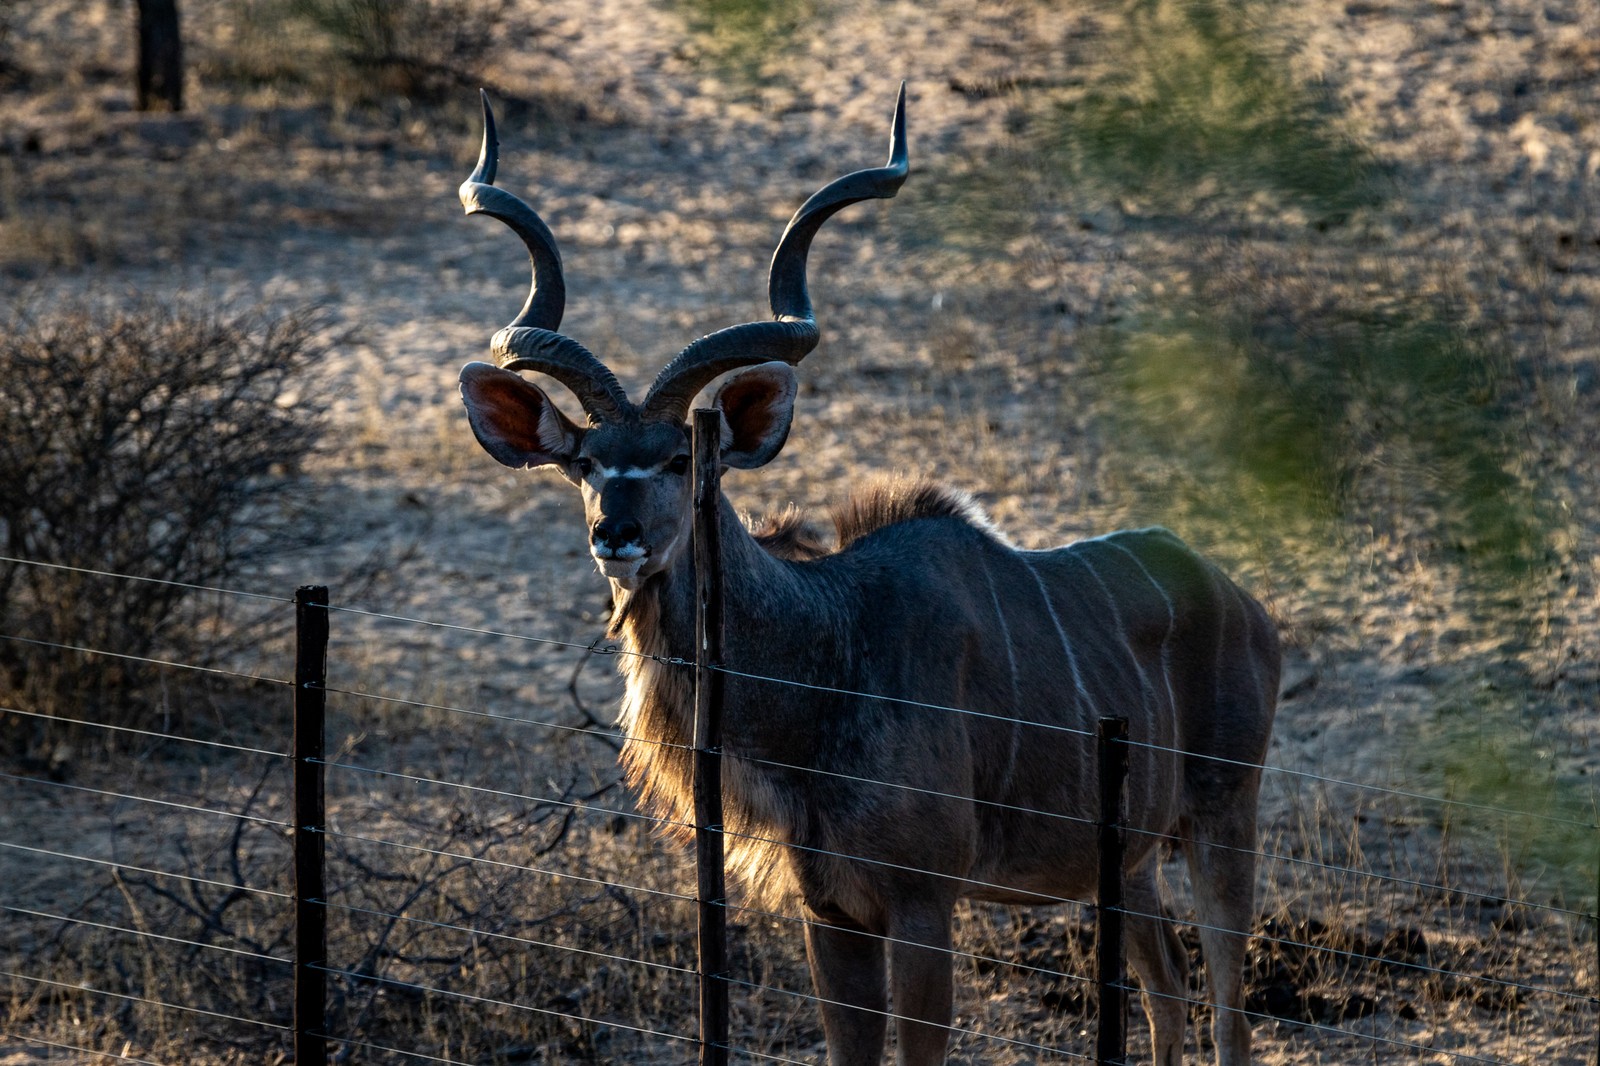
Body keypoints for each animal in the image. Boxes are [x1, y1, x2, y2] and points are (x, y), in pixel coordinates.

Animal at [457, 87, 1280, 1056]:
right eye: (583, 463)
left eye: (680, 460)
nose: (613, 534)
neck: (828, 653)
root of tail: (1243, 601)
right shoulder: (831, 912)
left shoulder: (923, 904)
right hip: (1132, 857)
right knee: (1167, 981)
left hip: (1225, 816)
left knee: (1226, 994)